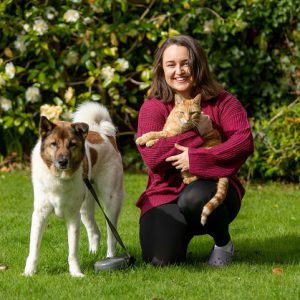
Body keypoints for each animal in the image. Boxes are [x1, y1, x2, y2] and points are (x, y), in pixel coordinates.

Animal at [22, 101, 124, 276]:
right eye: (54, 144)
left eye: (72, 145)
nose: (63, 161)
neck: (59, 178)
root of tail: (105, 135)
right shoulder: (40, 214)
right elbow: (33, 248)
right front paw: (29, 273)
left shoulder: (72, 216)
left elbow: (72, 251)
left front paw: (76, 273)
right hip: (85, 207)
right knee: (95, 231)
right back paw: (93, 253)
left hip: (111, 202)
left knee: (112, 235)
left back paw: (110, 259)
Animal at [137, 94, 230, 225]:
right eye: (182, 112)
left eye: (192, 113)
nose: (187, 120)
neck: (176, 120)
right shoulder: (167, 131)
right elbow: (157, 135)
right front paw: (147, 141)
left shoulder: (171, 134)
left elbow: (156, 134)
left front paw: (144, 139)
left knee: (203, 175)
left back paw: (188, 180)